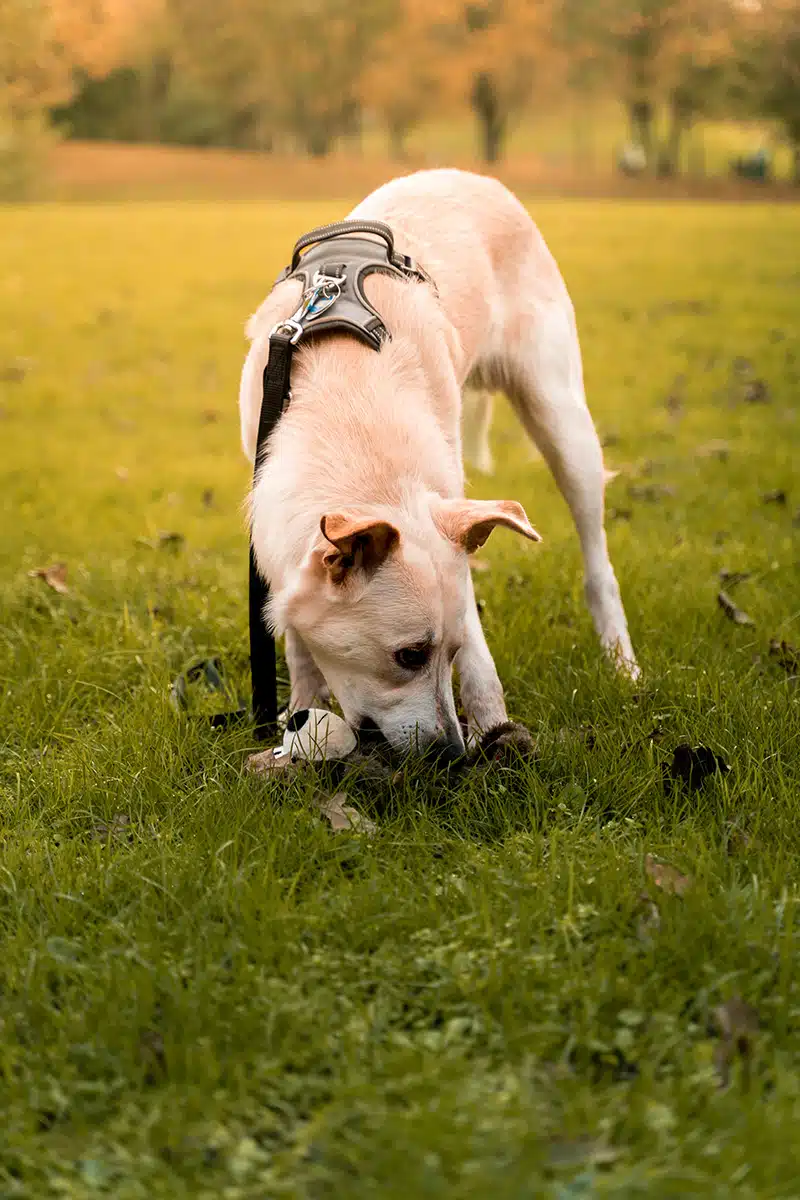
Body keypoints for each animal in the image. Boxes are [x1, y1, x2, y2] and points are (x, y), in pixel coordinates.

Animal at [237, 168, 638, 753]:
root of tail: (474, 176)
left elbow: (480, 662)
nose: (451, 750)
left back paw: (621, 662)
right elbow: (297, 643)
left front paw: (495, 732)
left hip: (562, 420)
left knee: (598, 561)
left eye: (446, 652)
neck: (352, 408)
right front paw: (301, 711)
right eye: (410, 656)